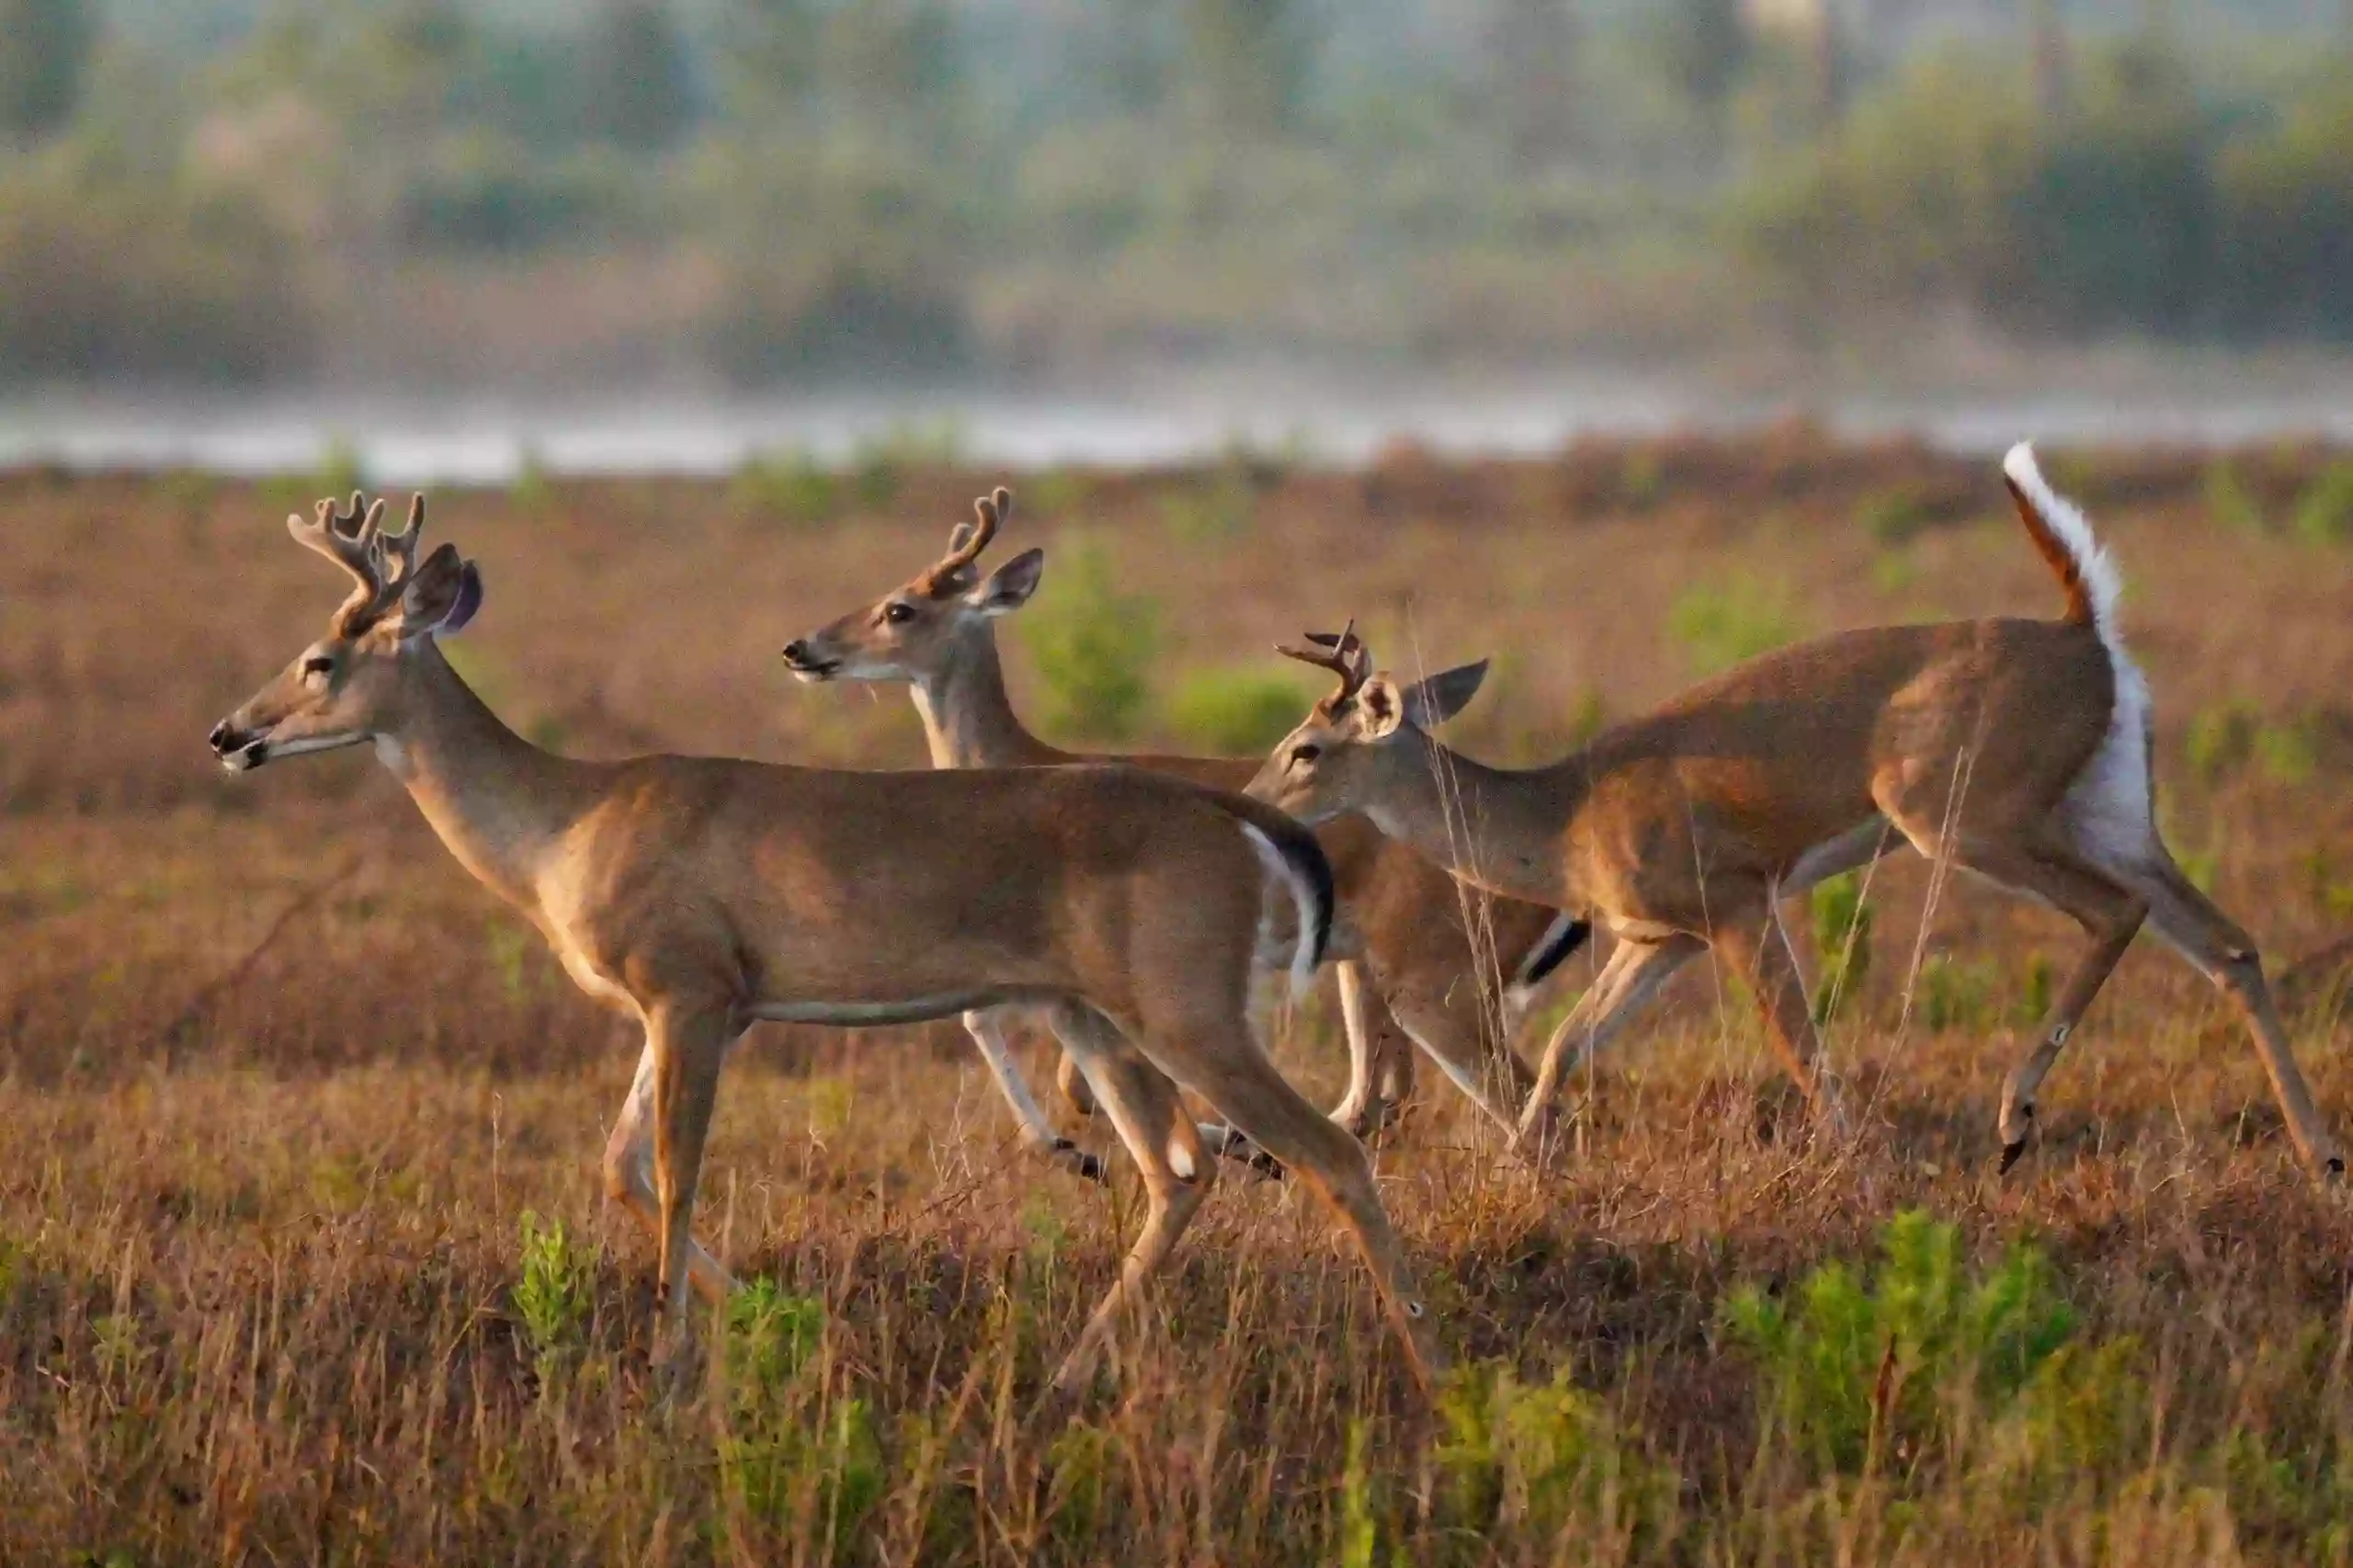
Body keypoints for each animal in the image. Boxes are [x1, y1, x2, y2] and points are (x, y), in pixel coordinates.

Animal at [207, 489, 1449, 1393]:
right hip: (1098, 1011)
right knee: (1180, 1167)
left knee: (1324, 1150)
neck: (563, 825)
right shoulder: (693, 1004)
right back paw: (1068, 1373)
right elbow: (618, 1164)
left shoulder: (691, 985)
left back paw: (1434, 1368)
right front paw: (771, 1311)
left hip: (1185, 1000)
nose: (229, 731)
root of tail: (1247, 821)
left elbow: (677, 1167)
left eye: (320, 658)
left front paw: (668, 1363)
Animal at [780, 484, 1590, 1158]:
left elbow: (1056, 1068)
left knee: (1520, 1101)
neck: (1023, 759)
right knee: (1391, 1101)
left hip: (1436, 978)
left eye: (900, 608)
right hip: (1370, 975)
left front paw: (1092, 1152)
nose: (801, 648)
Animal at [1242, 445, 2343, 1176]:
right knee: (2227, 942)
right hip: (2108, 809)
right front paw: (1525, 1167)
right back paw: (2320, 1155)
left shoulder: (1737, 900)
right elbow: (1564, 1046)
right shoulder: (1658, 937)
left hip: (1960, 813)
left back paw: (2014, 1117)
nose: (1250, 804)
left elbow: (1803, 1049)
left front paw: (1857, 1171)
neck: (1560, 818)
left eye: (1307, 746)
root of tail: (2088, 634)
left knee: (2115, 913)